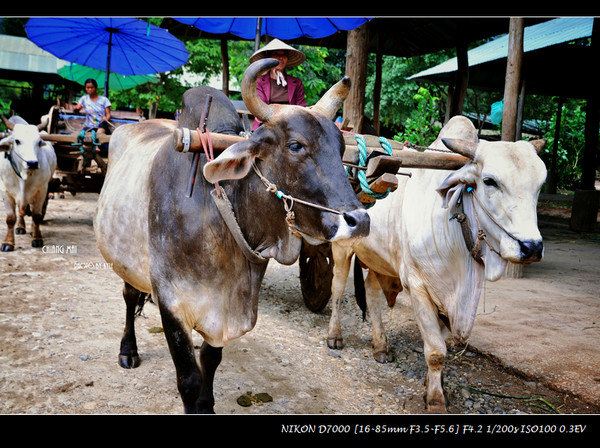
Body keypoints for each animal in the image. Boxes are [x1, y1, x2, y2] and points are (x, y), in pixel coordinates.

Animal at [0, 114, 56, 252]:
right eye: (17, 141)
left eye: (39, 142)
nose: (32, 163)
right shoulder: (5, 191)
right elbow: (10, 218)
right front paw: (8, 243)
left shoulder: (42, 190)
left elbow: (36, 216)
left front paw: (37, 238)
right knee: (22, 211)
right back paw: (20, 227)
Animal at [95, 58, 370, 412]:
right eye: (296, 146)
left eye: (340, 148)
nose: (359, 220)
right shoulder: (172, 304)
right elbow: (189, 379)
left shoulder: (223, 314)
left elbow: (211, 361)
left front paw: (208, 402)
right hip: (125, 262)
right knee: (130, 298)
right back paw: (128, 350)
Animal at [326, 116, 548, 412]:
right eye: (490, 181)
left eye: (540, 185)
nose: (531, 247)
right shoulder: (417, 286)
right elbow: (435, 351)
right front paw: (435, 399)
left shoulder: (443, 295)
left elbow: (439, 342)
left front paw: (432, 384)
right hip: (341, 249)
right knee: (338, 289)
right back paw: (334, 336)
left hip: (380, 259)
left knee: (372, 293)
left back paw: (381, 346)